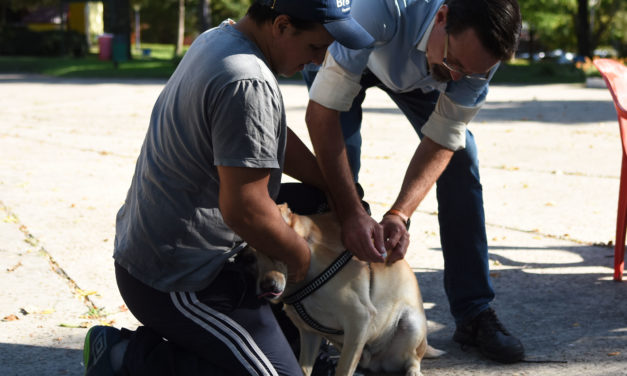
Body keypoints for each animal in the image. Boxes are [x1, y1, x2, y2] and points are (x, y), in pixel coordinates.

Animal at [254, 206, 442, 376]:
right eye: (250, 258)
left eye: (275, 248)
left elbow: (343, 370)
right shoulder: (309, 334)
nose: (267, 286)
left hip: (411, 326)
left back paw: (413, 371)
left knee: (413, 359)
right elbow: (304, 368)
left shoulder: (358, 319)